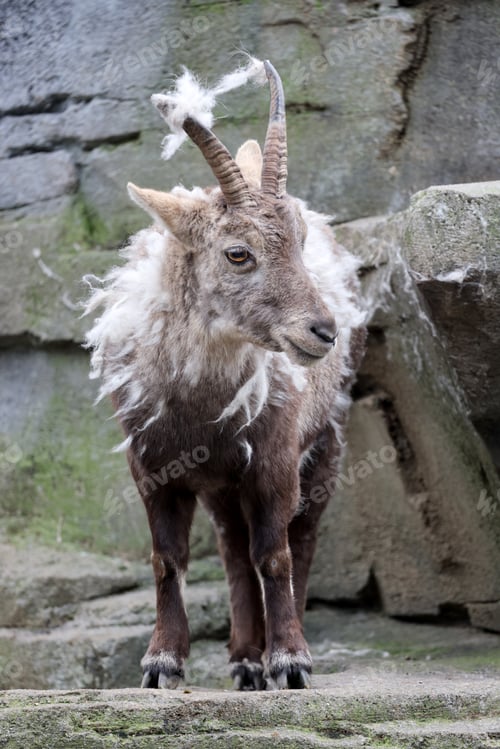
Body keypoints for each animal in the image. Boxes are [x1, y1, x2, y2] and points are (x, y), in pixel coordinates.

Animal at [84, 59, 366, 690]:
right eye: (238, 253)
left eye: (299, 242)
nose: (323, 331)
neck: (200, 404)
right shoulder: (155, 467)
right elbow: (168, 559)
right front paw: (161, 662)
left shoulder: (275, 458)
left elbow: (277, 555)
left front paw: (290, 660)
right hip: (219, 484)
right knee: (235, 550)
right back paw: (242, 657)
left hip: (325, 441)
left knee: (299, 539)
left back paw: (275, 651)